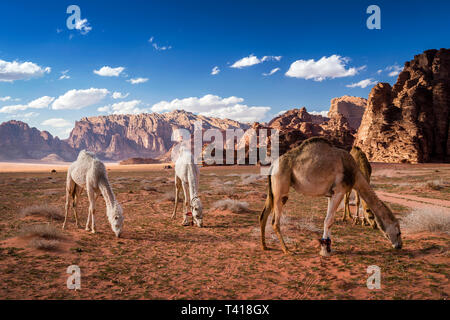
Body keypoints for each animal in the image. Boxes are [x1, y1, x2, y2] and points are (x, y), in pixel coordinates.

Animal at [258, 136, 402, 256]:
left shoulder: (330, 194)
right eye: (398, 231)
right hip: (281, 187)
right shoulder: (339, 191)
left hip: (272, 190)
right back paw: (287, 250)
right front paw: (325, 251)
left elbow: (329, 220)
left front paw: (327, 246)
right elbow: (329, 220)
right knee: (275, 221)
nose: (399, 245)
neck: (355, 174)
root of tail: (273, 165)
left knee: (263, 215)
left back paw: (264, 246)